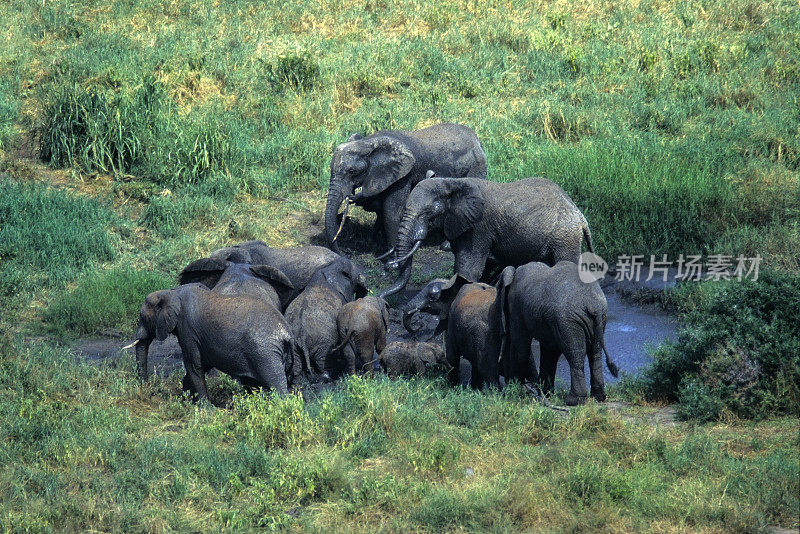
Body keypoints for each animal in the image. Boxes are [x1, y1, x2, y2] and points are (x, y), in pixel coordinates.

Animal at [133, 284, 296, 402]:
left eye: (142, 316)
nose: (148, 390)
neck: (172, 292)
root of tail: (287, 332)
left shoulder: (187, 328)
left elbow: (194, 365)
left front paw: (205, 409)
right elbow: (202, 363)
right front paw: (188, 401)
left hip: (264, 353)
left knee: (276, 383)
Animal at [324, 123, 488, 255]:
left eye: (352, 172)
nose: (347, 253)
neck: (369, 143)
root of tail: (477, 139)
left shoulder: (403, 174)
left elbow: (392, 210)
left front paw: (392, 256)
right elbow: (381, 207)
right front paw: (376, 243)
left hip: (476, 165)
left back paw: (447, 246)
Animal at [380, 178, 592, 300]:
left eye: (428, 213)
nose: (381, 297)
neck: (451, 182)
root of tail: (581, 217)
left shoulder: (477, 227)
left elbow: (468, 268)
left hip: (564, 237)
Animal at [504, 262, 620, 406]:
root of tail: (595, 307)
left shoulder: (516, 308)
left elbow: (520, 347)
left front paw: (514, 391)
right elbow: (550, 351)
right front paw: (544, 393)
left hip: (569, 321)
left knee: (575, 354)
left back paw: (574, 401)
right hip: (599, 318)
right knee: (594, 352)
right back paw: (598, 397)